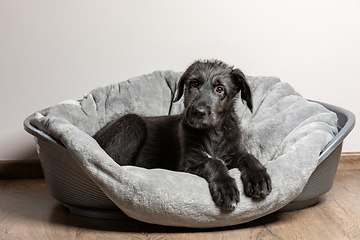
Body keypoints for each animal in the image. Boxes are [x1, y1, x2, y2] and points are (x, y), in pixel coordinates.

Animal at [94, 60, 272, 210]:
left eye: (220, 89)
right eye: (194, 83)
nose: (198, 112)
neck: (212, 133)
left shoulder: (235, 150)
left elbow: (248, 157)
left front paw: (258, 178)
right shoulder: (186, 166)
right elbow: (213, 162)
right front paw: (225, 187)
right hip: (133, 123)